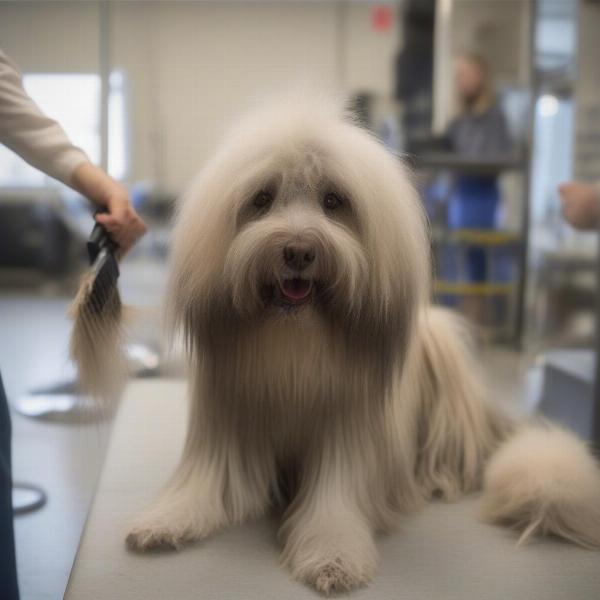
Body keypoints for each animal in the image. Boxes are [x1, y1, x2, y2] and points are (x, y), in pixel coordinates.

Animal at [81, 95, 600, 596]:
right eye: (261, 198)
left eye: (334, 200)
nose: (297, 251)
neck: (294, 336)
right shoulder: (228, 421)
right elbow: (206, 486)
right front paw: (165, 521)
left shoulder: (346, 430)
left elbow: (334, 502)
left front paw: (333, 558)